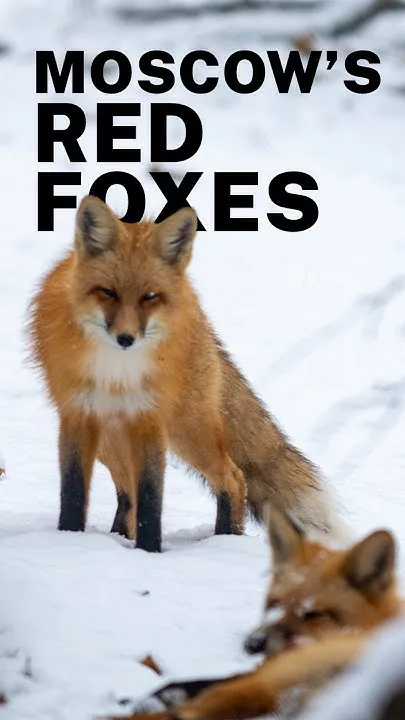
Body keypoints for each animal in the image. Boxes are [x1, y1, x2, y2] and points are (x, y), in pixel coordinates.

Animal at [27, 194, 338, 553]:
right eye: (108, 292)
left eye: (150, 296)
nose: (126, 338)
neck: (118, 371)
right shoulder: (77, 416)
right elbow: (74, 493)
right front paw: (69, 541)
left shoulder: (150, 419)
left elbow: (151, 497)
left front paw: (149, 552)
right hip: (111, 438)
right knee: (127, 492)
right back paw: (120, 538)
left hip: (187, 430)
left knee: (233, 477)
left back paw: (224, 540)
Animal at [109, 508, 403, 719]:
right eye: (273, 603)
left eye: (313, 614)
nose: (252, 644)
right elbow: (185, 684)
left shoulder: (266, 676)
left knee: (187, 713)